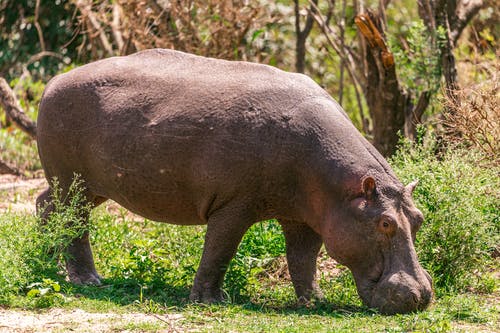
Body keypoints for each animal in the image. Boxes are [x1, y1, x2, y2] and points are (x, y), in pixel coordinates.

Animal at [36, 48, 434, 312]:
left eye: (419, 219)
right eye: (385, 223)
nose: (421, 295)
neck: (345, 191)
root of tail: (54, 81)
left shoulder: (304, 217)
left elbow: (303, 259)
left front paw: (314, 303)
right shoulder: (234, 205)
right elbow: (220, 251)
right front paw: (209, 301)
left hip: (91, 186)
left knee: (45, 205)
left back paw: (48, 264)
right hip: (72, 181)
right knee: (73, 222)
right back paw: (88, 281)